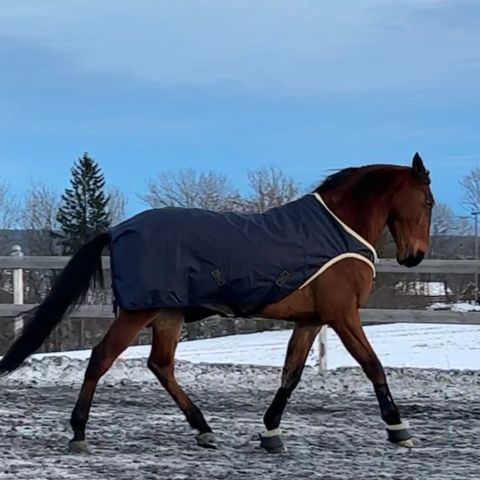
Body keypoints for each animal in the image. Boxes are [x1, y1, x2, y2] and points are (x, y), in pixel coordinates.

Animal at [0, 153, 436, 454]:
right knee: (101, 358)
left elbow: (291, 374)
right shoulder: (342, 316)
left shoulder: (311, 320)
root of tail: (117, 229)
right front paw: (399, 430)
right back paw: (79, 433)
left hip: (168, 314)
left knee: (161, 366)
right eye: (429, 201)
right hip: (139, 311)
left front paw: (271, 432)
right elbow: (372, 364)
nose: (415, 256)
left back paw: (204, 429)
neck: (338, 228)